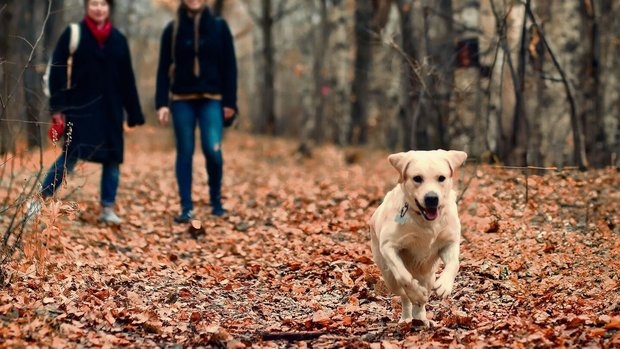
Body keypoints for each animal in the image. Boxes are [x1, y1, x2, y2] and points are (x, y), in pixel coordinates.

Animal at [368, 150, 464, 326]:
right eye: (417, 178)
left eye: (441, 178)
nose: (432, 198)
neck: (425, 221)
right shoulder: (389, 246)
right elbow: (404, 276)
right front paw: (417, 294)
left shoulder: (450, 242)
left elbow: (454, 263)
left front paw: (445, 285)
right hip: (389, 277)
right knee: (404, 295)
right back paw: (407, 316)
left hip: (428, 276)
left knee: (422, 297)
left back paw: (421, 319)